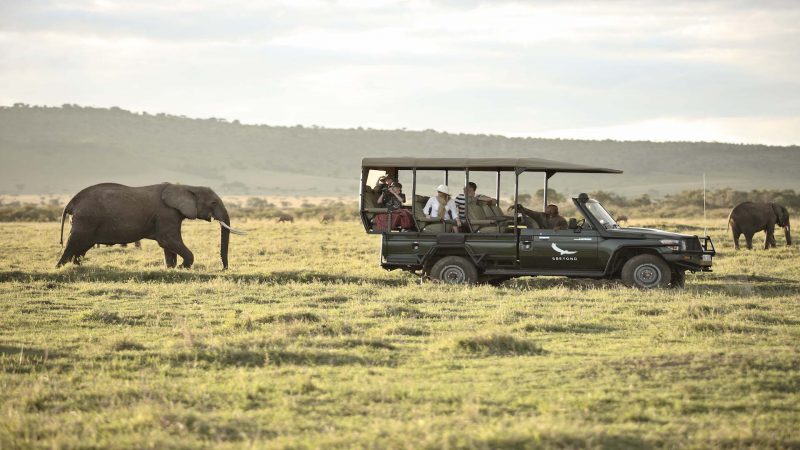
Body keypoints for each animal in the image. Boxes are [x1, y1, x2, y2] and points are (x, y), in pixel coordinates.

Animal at [56, 182, 245, 268]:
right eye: (213, 202)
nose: (223, 269)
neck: (186, 187)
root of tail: (71, 202)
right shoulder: (166, 214)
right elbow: (168, 241)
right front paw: (182, 267)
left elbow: (168, 246)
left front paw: (171, 269)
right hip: (86, 220)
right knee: (73, 243)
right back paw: (60, 268)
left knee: (81, 247)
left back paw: (77, 267)